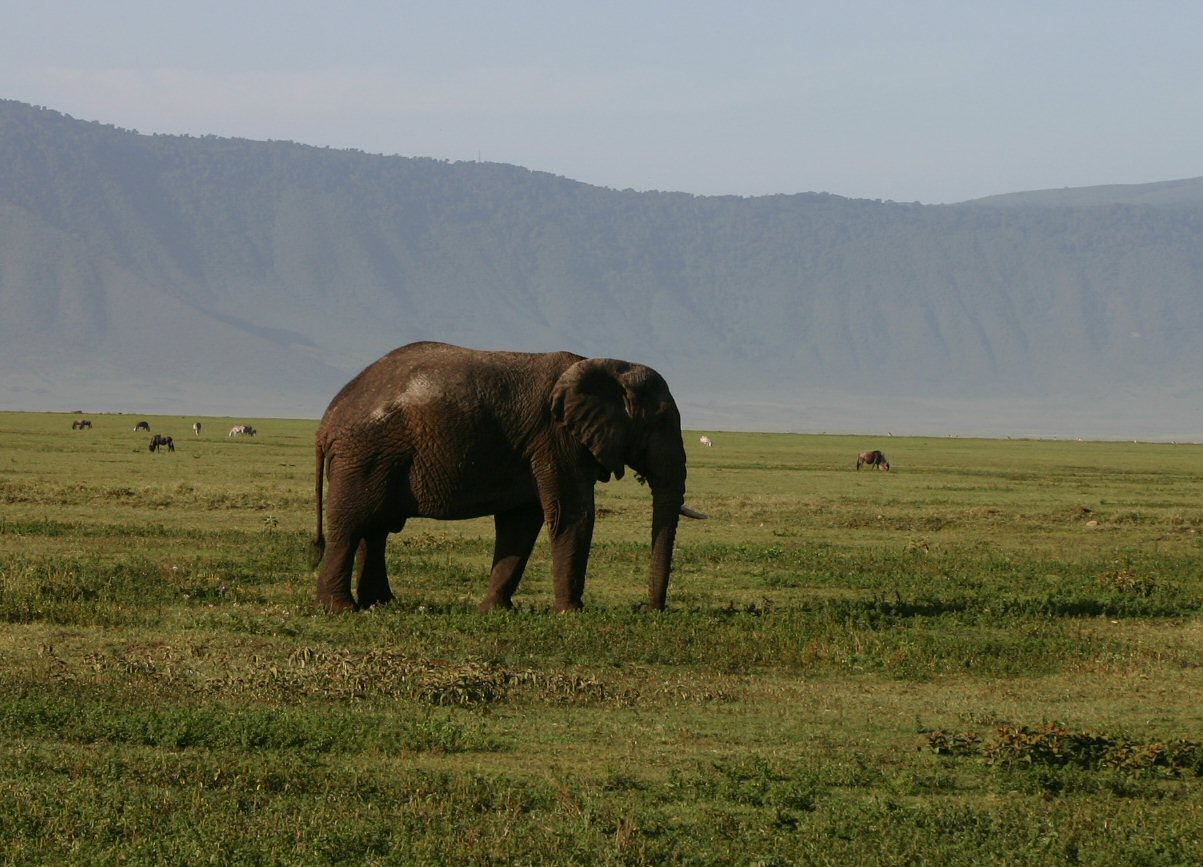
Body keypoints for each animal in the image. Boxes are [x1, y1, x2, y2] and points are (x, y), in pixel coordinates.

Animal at [310, 341, 702, 613]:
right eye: (662, 421)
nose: (646, 608)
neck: (606, 365)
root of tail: (326, 423)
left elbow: (521, 523)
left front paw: (496, 611)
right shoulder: (556, 438)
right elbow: (571, 515)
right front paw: (571, 614)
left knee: (375, 529)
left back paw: (381, 605)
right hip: (365, 454)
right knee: (352, 526)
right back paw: (341, 610)